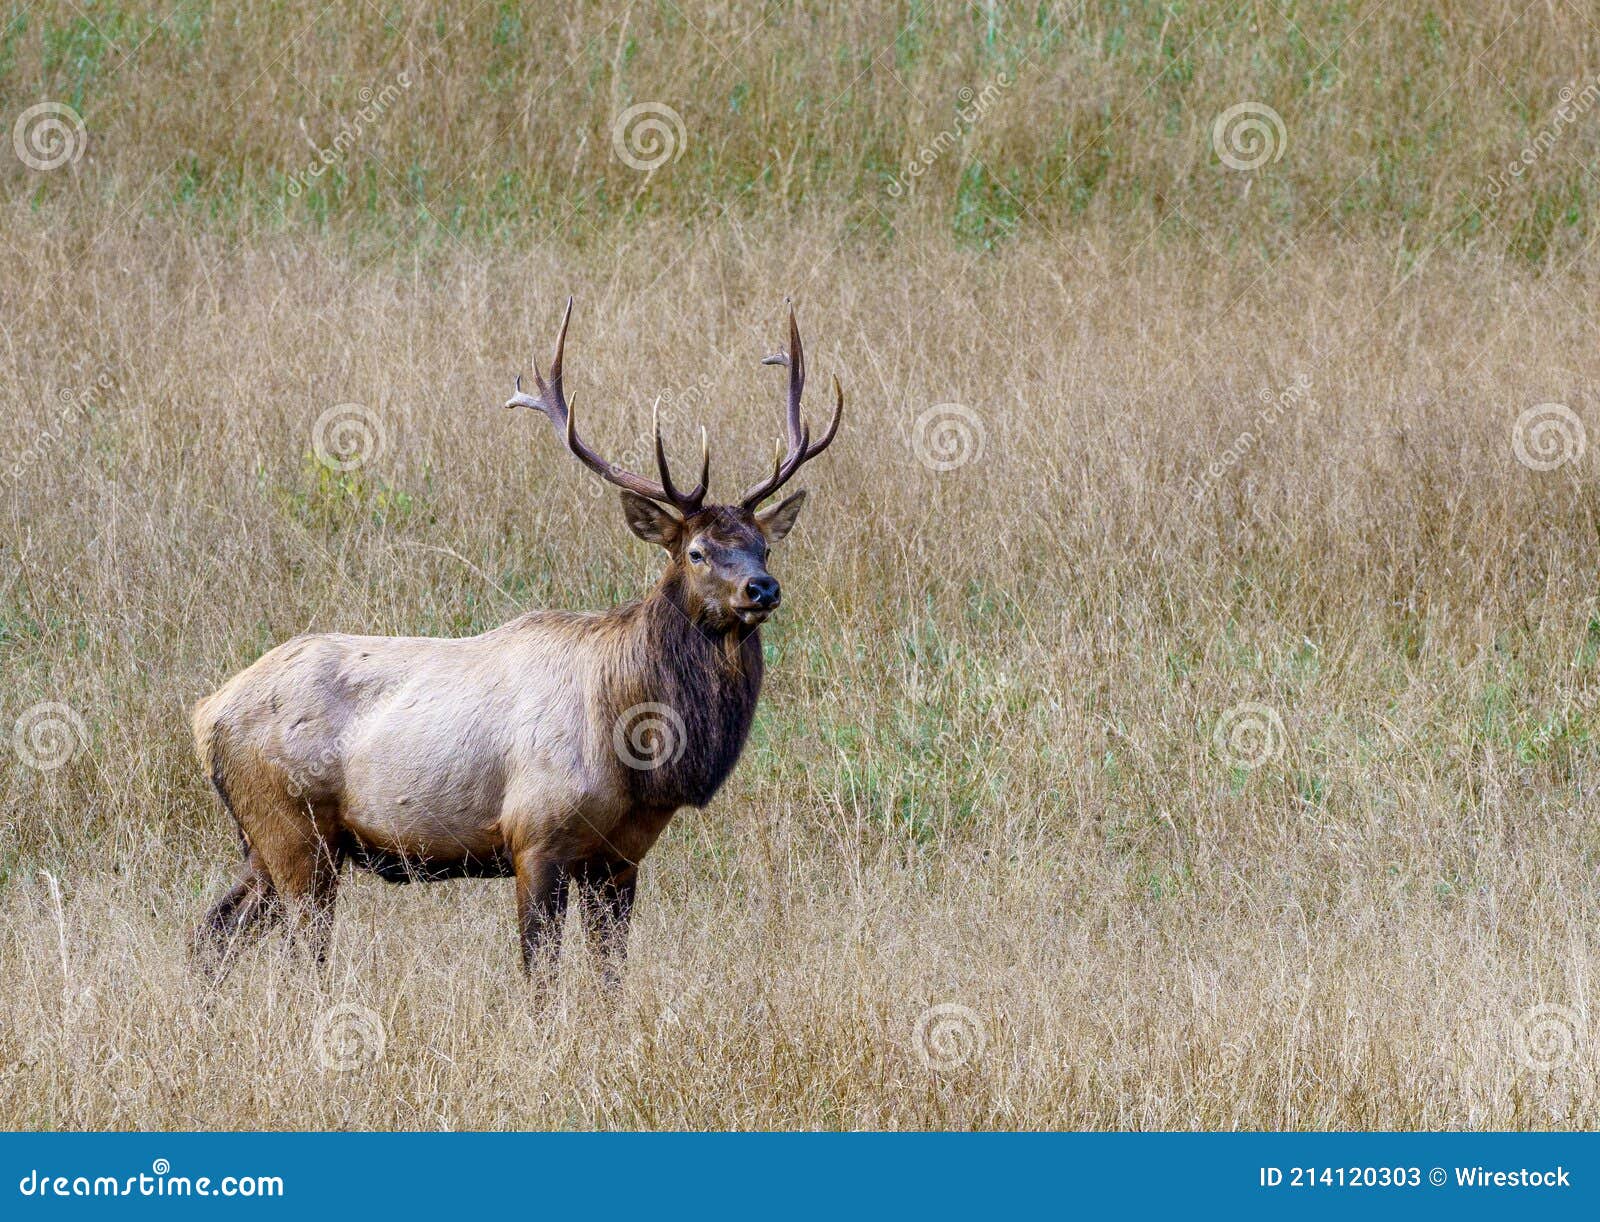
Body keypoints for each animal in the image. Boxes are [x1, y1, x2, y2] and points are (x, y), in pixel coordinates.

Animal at [191, 299, 840, 980]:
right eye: (696, 551)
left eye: (763, 545)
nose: (763, 589)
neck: (633, 744)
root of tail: (206, 714)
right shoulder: (536, 837)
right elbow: (540, 973)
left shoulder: (620, 859)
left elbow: (610, 978)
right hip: (293, 829)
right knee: (297, 954)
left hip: (267, 843)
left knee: (212, 930)